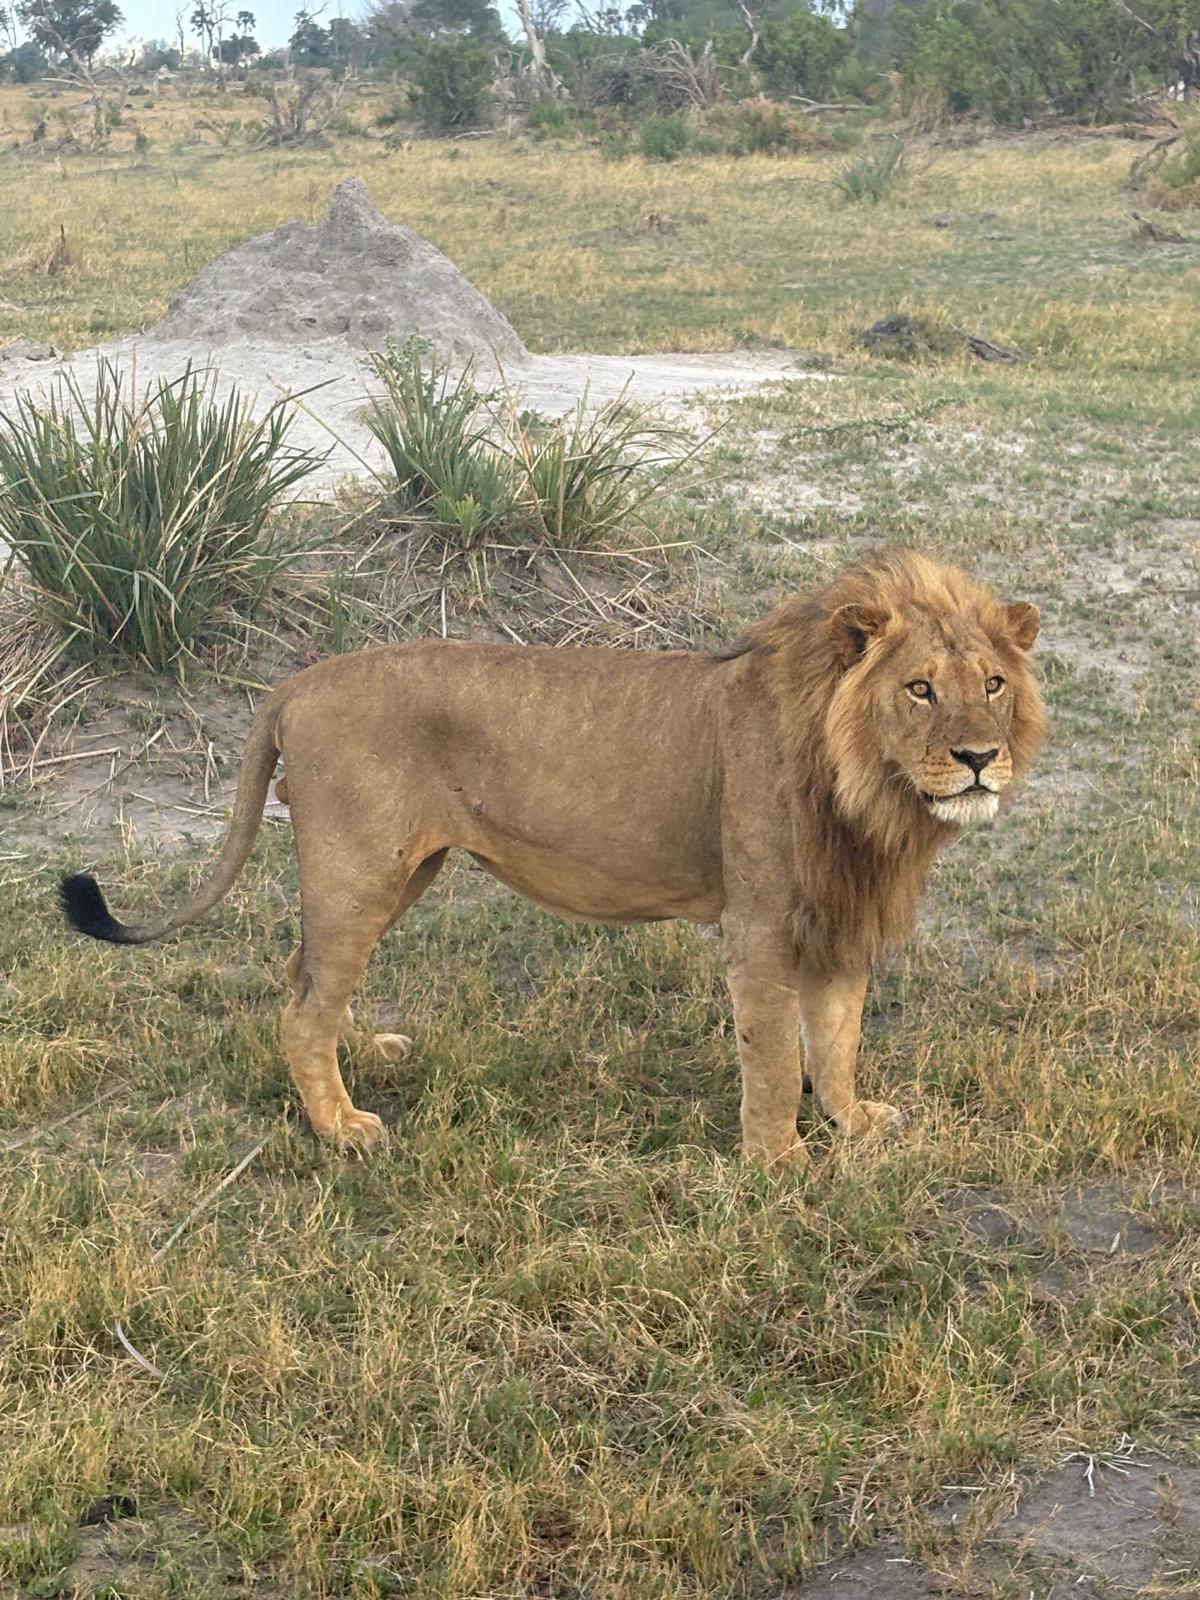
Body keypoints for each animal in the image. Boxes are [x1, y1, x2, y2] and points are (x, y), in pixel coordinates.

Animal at [60, 549, 1044, 1168]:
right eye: (919, 689)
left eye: (993, 684)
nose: (979, 758)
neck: (870, 792)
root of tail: (296, 680)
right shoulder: (763, 919)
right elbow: (771, 1055)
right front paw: (779, 1161)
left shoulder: (839, 911)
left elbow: (837, 1036)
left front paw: (853, 1123)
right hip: (360, 868)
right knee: (304, 1001)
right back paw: (341, 1128)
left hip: (399, 873)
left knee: (304, 975)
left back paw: (365, 1054)